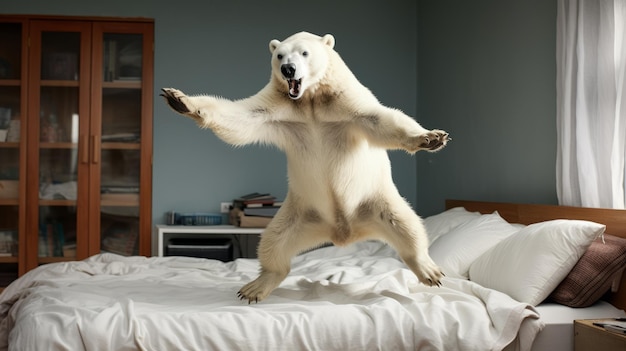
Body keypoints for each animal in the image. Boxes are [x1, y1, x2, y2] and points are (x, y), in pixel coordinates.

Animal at [158, 31, 446, 304]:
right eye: (279, 55)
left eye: (304, 53)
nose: (288, 69)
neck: (311, 101)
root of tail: (343, 232)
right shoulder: (279, 109)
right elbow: (240, 119)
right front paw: (180, 100)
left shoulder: (347, 103)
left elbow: (383, 119)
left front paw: (430, 137)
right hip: (300, 214)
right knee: (273, 243)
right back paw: (256, 287)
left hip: (377, 201)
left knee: (408, 227)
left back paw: (428, 269)